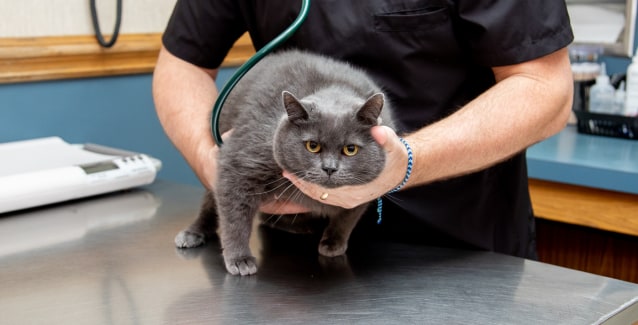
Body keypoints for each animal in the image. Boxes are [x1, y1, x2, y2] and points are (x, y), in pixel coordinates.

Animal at [175, 49, 396, 274]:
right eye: (312, 146)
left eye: (350, 149)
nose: (329, 168)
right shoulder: (240, 164)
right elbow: (235, 217)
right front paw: (239, 258)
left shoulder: (365, 193)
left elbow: (346, 218)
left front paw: (333, 243)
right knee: (211, 204)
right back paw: (194, 232)